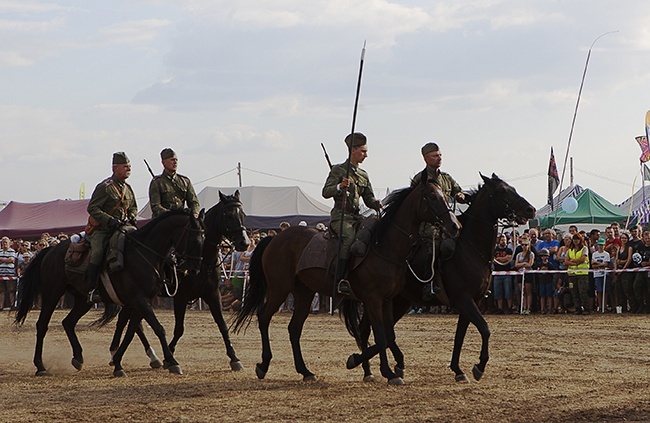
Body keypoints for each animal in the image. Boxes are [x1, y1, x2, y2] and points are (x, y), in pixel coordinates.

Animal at [15, 209, 204, 378]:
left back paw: (78, 358)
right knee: (42, 325)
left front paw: (119, 361)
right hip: (52, 294)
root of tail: (50, 251)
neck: (144, 254)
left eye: (204, 238)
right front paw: (172, 362)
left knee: (68, 322)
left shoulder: (141, 301)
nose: (194, 269)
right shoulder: (139, 300)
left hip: (83, 300)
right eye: (195, 239)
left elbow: (131, 331)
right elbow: (157, 328)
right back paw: (40, 366)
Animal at [107, 191, 249, 372]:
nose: (244, 243)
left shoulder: (212, 294)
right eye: (228, 215)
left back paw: (124, 355)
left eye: (243, 215)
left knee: (126, 320)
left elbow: (222, 325)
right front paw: (170, 357)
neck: (203, 261)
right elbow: (179, 329)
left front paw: (234, 358)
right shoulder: (181, 297)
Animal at [233, 173, 460, 388]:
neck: (385, 247)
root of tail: (275, 238)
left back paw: (305, 371)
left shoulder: (387, 301)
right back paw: (263, 365)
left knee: (294, 328)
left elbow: (388, 336)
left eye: (445, 195)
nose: (455, 226)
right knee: (263, 317)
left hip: (304, 292)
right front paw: (387, 372)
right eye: (432, 196)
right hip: (279, 288)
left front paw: (369, 364)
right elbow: (381, 335)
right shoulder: (373, 300)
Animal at [346, 175, 536, 384]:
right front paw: (479, 366)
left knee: (375, 332)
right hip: (380, 300)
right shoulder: (464, 300)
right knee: (372, 332)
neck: (470, 247)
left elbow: (460, 336)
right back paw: (367, 366)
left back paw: (380, 367)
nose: (530, 209)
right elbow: (485, 329)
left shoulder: (472, 301)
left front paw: (458, 369)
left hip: (397, 302)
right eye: (502, 190)